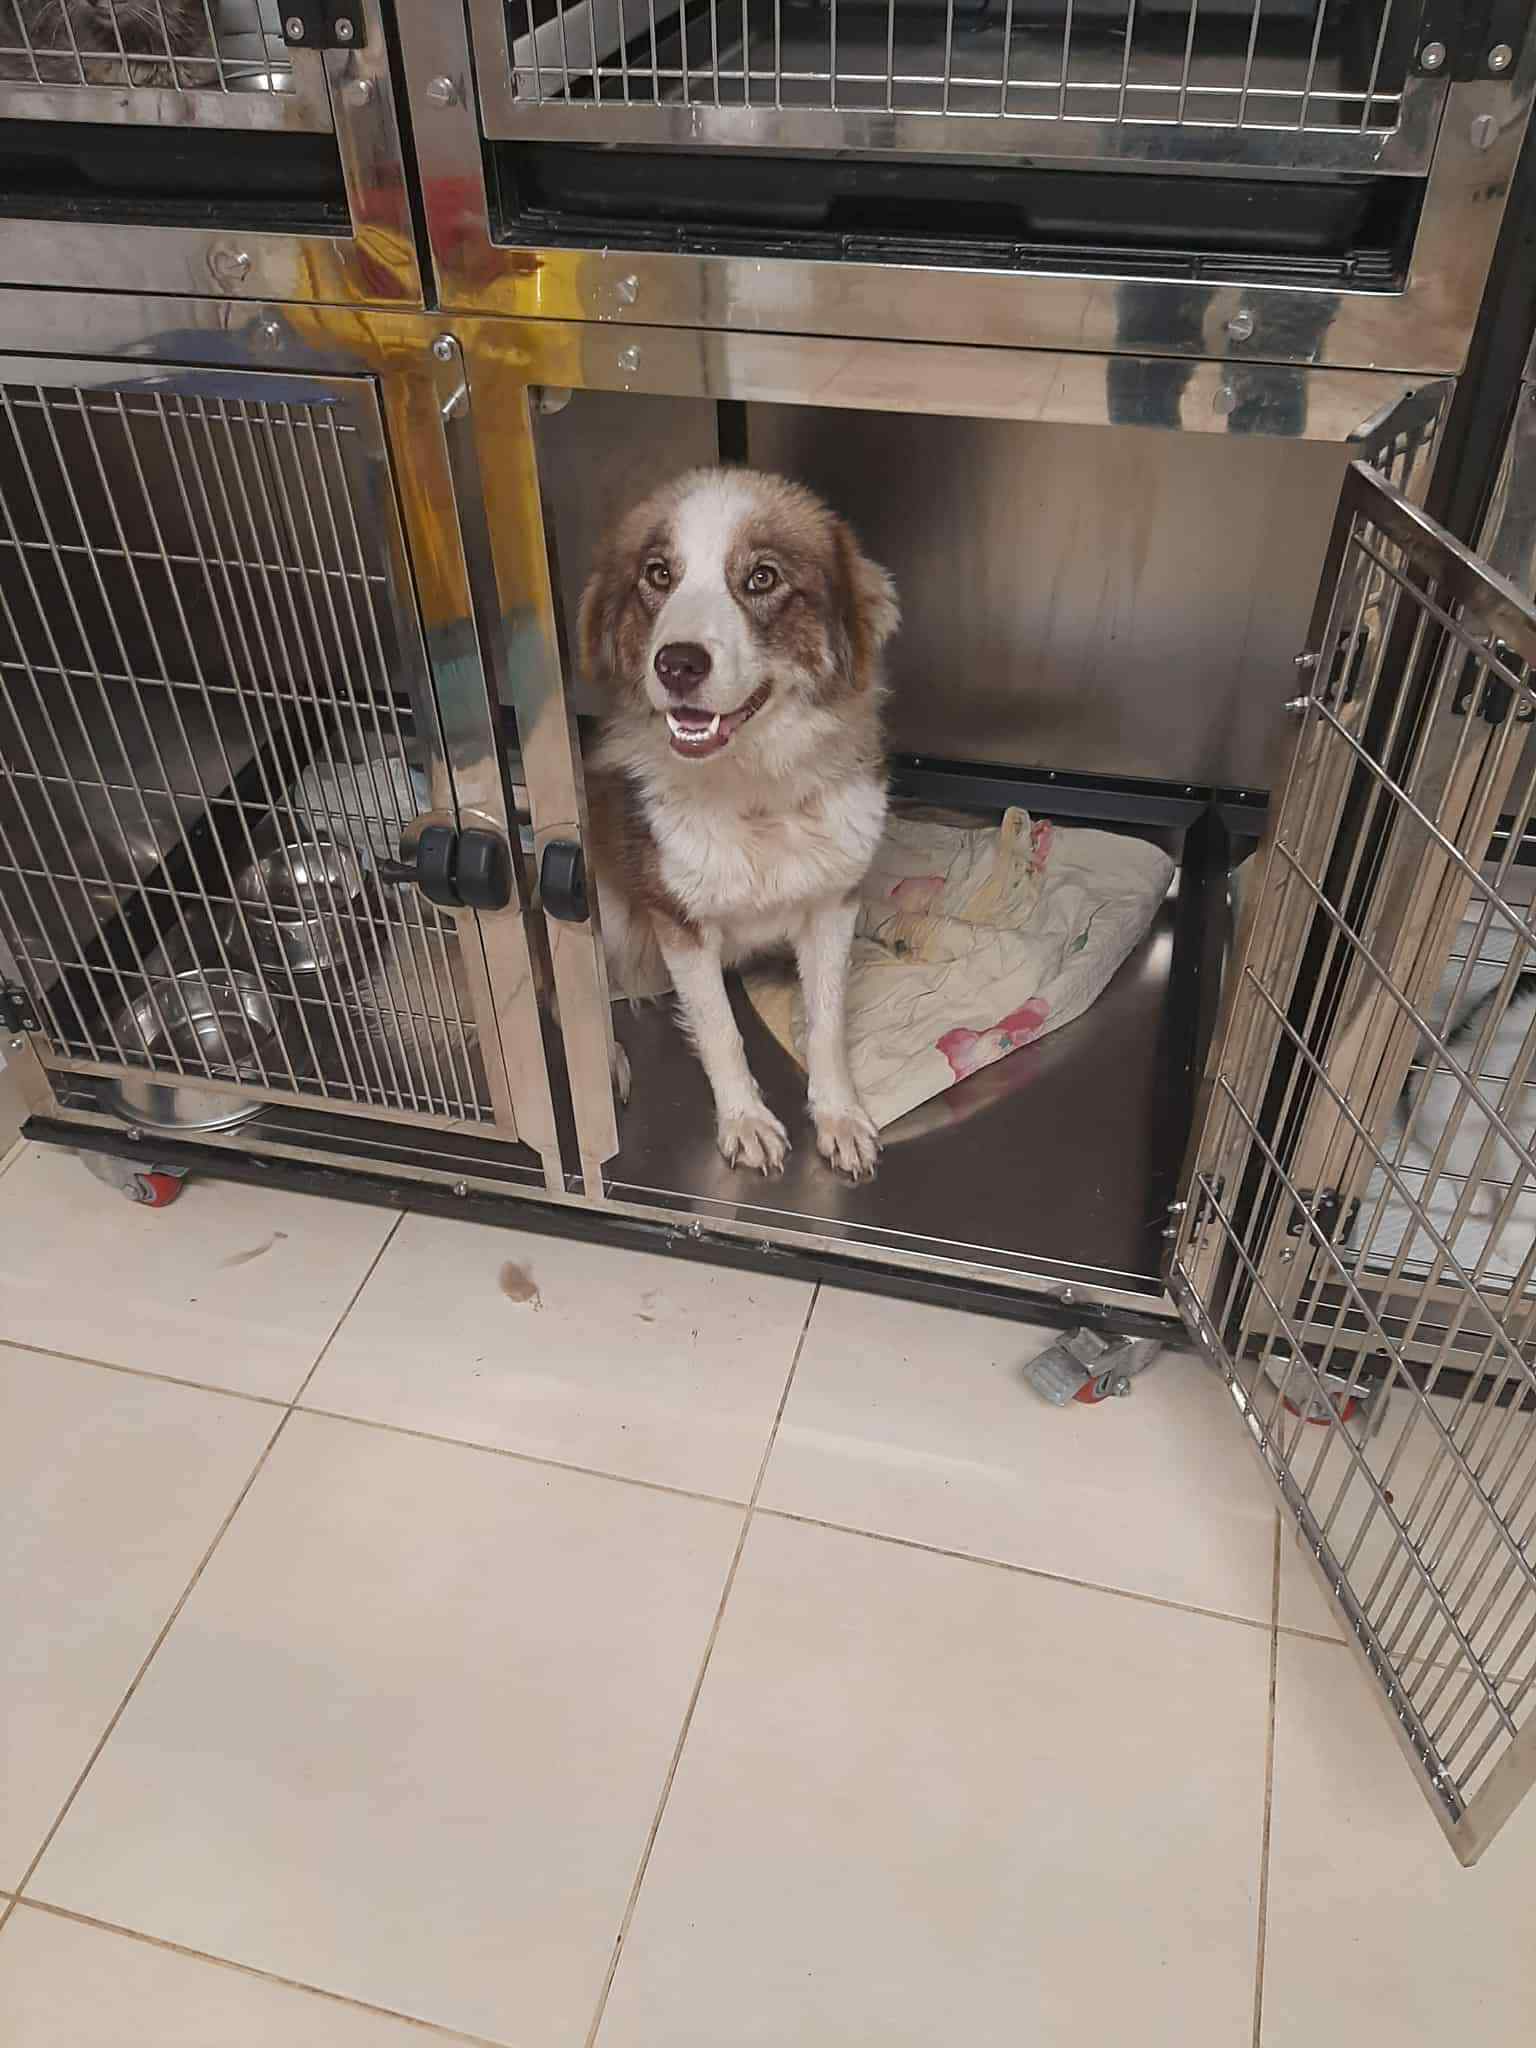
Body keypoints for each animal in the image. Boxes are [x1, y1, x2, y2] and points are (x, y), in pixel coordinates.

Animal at [578, 467, 899, 1181]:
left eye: (761, 578)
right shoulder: (681, 922)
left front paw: (839, 1116)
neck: (756, 794)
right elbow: (721, 1031)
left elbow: (828, 1022)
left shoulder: (833, 904)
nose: (677, 664)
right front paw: (746, 1121)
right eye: (659, 574)